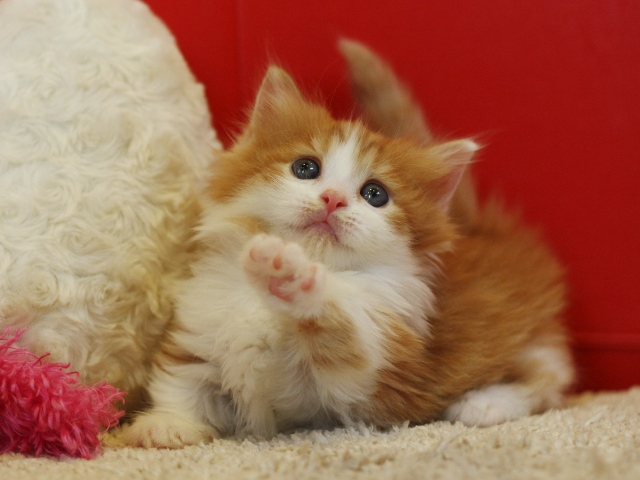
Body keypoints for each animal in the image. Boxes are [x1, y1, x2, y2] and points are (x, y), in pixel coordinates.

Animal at [122, 42, 572, 450]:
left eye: (375, 194)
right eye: (306, 168)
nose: (333, 199)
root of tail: (484, 232)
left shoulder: (369, 370)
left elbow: (342, 325)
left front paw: (290, 273)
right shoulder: (200, 327)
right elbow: (183, 378)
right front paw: (167, 424)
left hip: (524, 337)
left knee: (548, 376)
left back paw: (485, 403)